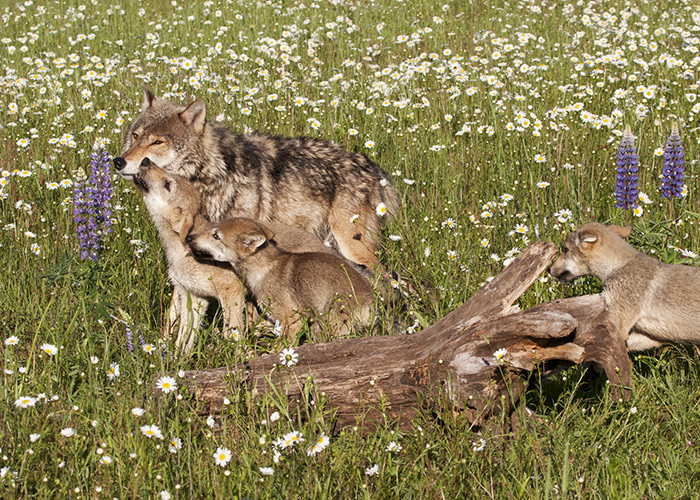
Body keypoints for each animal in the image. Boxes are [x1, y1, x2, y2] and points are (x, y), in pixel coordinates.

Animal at [116, 88, 400, 272]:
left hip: (353, 245)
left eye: (157, 142)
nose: (118, 161)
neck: (211, 173)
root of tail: (372, 166)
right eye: (135, 136)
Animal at [135, 156, 336, 352]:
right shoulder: (192, 296)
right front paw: (176, 361)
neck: (179, 251)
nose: (145, 160)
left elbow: (231, 333)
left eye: (168, 184)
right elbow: (183, 340)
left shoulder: (231, 292)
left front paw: (237, 358)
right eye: (170, 177)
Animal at [185, 217, 372, 338]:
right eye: (212, 230)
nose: (188, 237)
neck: (263, 269)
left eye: (216, 236)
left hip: (323, 330)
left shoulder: (291, 320)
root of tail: (369, 303)